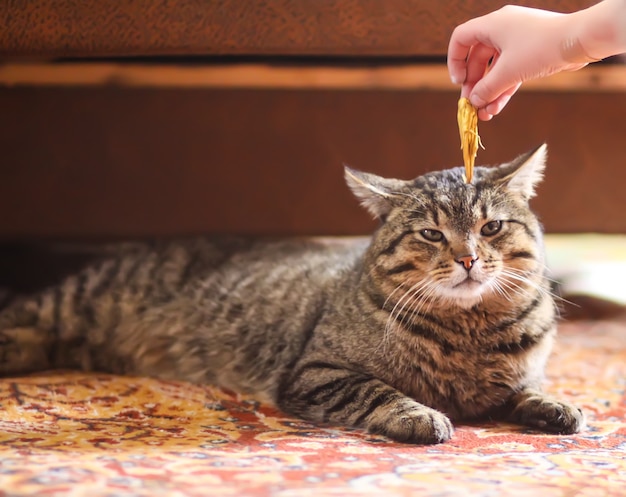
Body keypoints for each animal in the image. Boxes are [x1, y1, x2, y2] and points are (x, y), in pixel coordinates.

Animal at [0, 143, 580, 442]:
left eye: (491, 228)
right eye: (432, 234)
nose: (468, 259)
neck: (469, 330)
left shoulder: (522, 372)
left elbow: (528, 388)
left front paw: (555, 405)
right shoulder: (317, 372)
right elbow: (380, 392)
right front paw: (421, 415)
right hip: (69, 306)